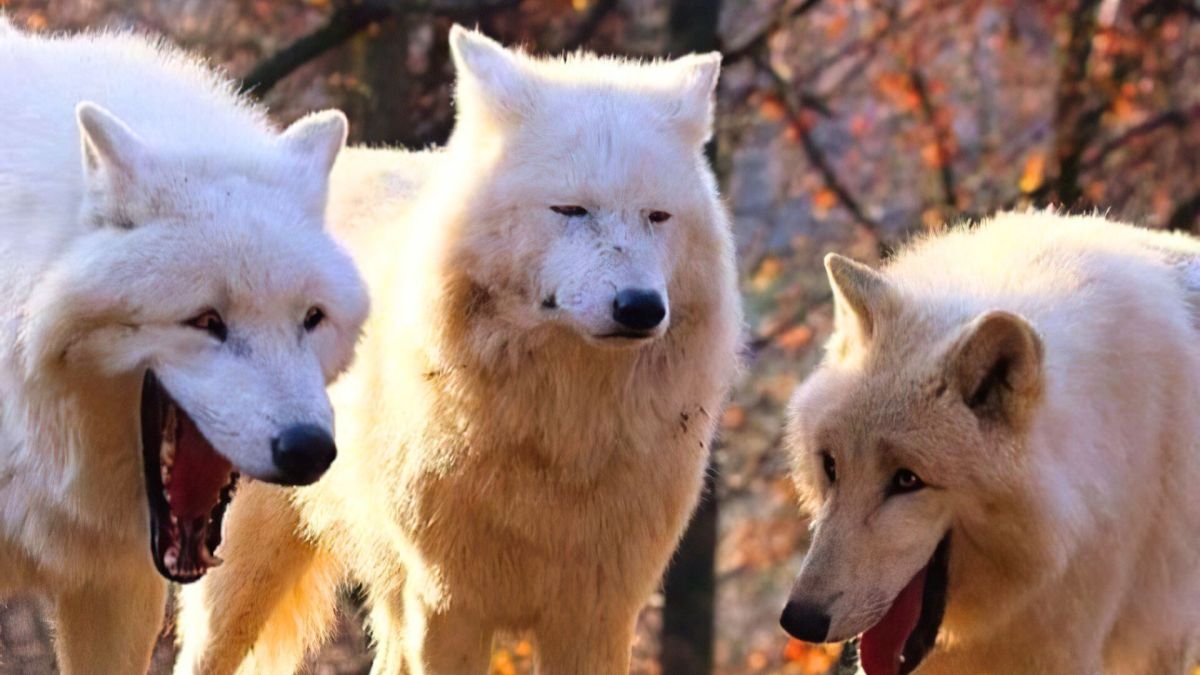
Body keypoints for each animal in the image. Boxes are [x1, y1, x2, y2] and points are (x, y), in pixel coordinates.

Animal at [175, 25, 743, 674]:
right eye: (571, 210)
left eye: (657, 216)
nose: (642, 307)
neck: (563, 433)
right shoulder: (447, 605)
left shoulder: (598, 615)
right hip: (243, 580)